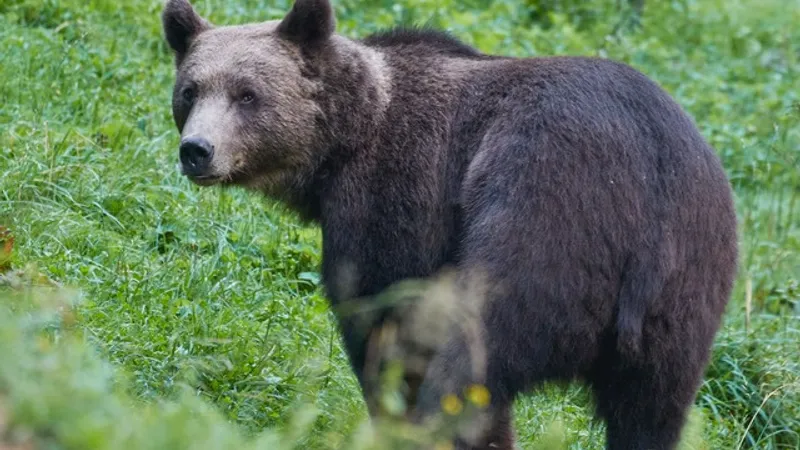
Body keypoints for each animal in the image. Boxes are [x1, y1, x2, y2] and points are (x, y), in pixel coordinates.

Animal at [161, 0, 736, 446]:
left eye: (247, 93)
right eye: (191, 90)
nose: (197, 151)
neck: (341, 147)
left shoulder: (397, 196)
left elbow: (387, 321)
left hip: (548, 212)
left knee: (476, 353)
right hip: (688, 284)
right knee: (652, 411)